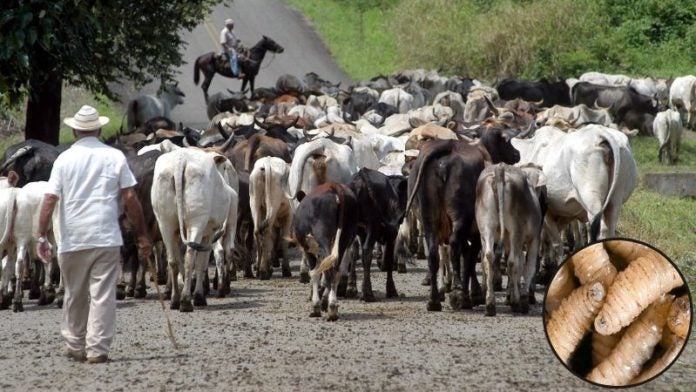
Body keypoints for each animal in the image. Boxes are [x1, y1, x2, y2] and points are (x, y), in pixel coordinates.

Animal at [152, 148, 239, 312]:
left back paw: (175, 300)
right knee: (191, 257)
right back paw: (186, 301)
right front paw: (198, 296)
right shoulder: (208, 234)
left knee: (172, 260)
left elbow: (179, 260)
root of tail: (180, 160)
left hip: (165, 223)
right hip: (197, 222)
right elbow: (201, 263)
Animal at [294, 182, 358, 320]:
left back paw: (331, 307)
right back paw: (332, 306)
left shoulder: (308, 249)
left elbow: (315, 273)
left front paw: (316, 305)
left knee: (330, 270)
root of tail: (335, 187)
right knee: (336, 270)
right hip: (344, 237)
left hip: (323, 237)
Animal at [346, 168, 408, 300]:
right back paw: (368, 293)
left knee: (353, 251)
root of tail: (361, 175)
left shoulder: (363, 233)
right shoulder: (392, 233)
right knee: (366, 251)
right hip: (373, 225)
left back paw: (351, 288)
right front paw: (391, 290)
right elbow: (389, 258)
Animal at [402, 129, 520, 312]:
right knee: (455, 245)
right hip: (460, 218)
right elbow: (469, 259)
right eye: (507, 142)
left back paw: (434, 300)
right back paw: (457, 294)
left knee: (434, 255)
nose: (517, 154)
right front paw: (473, 294)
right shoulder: (477, 231)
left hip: (429, 218)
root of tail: (447, 147)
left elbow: (466, 256)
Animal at [476, 164, 548, 316]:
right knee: (512, 261)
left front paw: (510, 296)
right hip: (516, 232)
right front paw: (523, 299)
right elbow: (529, 267)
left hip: (486, 228)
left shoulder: (510, 241)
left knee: (488, 258)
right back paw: (515, 303)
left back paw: (490, 304)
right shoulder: (534, 239)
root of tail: (500, 169)